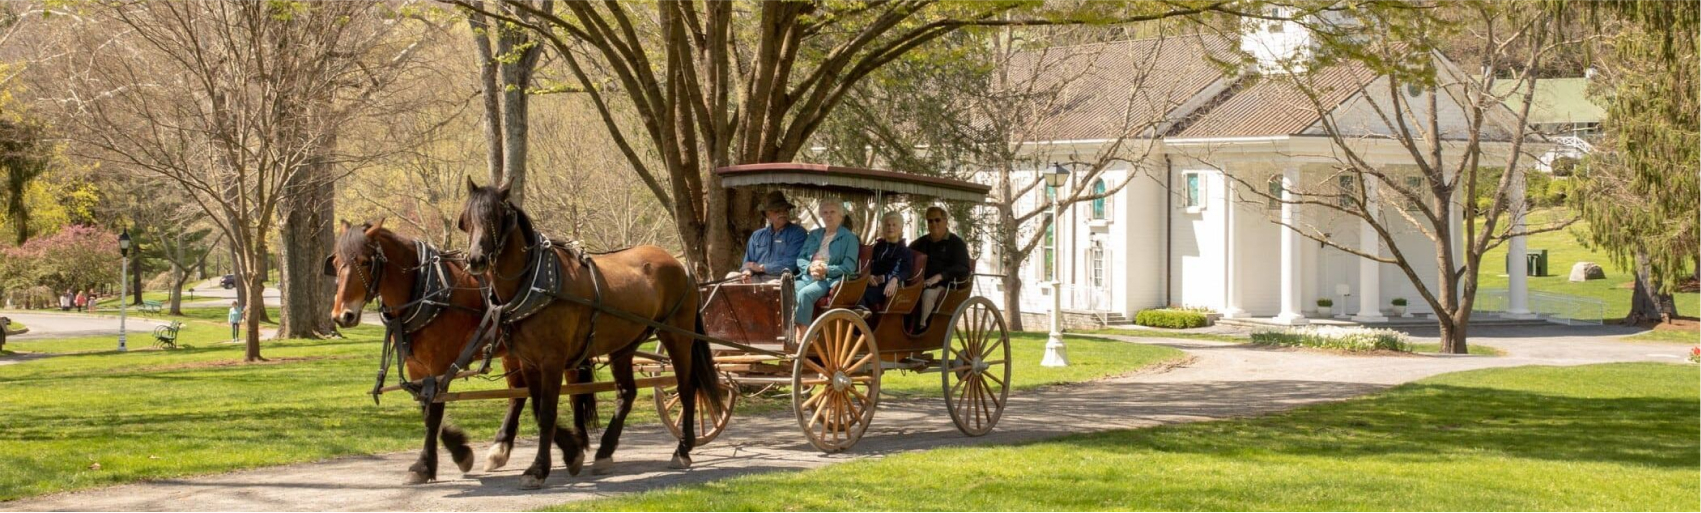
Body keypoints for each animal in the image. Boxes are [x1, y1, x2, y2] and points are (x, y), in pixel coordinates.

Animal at [321, 220, 595, 485]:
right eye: (334, 263)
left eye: (365, 262)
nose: (342, 315)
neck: (424, 289)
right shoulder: (417, 366)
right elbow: (426, 409)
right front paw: (458, 451)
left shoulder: (440, 362)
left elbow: (433, 413)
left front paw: (424, 465)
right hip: (515, 353)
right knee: (519, 394)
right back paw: (503, 446)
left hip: (559, 350)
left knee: (574, 391)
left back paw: (579, 442)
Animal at [459, 180, 724, 489]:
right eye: (466, 220)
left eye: (494, 217)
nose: (475, 259)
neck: (536, 282)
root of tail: (681, 264)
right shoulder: (529, 361)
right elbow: (537, 407)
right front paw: (571, 452)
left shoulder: (552, 360)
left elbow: (547, 412)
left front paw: (539, 468)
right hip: (625, 344)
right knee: (627, 393)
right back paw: (605, 452)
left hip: (677, 337)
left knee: (686, 387)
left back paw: (682, 448)